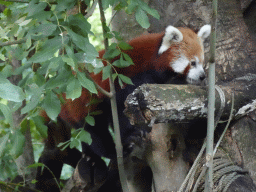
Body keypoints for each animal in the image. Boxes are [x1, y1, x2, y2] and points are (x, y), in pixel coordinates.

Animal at [37, 24, 211, 191]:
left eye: (202, 63)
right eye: (192, 63)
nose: (202, 76)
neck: (154, 59)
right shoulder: (128, 79)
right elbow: (123, 111)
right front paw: (133, 133)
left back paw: (90, 157)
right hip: (81, 106)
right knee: (95, 132)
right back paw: (113, 150)